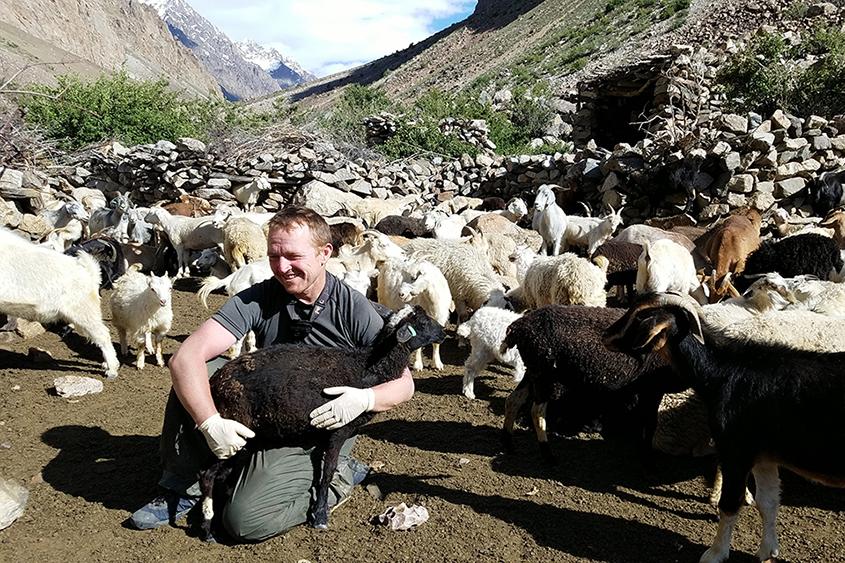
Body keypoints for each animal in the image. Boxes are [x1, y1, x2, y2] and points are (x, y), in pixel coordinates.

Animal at [199, 308, 446, 540]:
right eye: (423, 323)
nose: (443, 333)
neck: (367, 368)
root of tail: (216, 382)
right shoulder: (338, 431)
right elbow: (327, 472)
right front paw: (320, 516)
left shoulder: (322, 434)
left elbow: (319, 471)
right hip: (233, 432)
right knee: (207, 475)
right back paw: (207, 526)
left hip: (247, 439)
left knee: (221, 476)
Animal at [604, 294, 844, 563]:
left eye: (640, 319)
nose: (605, 336)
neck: (726, 371)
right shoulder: (763, 456)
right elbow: (768, 502)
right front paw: (767, 551)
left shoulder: (736, 451)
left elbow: (729, 505)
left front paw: (715, 553)